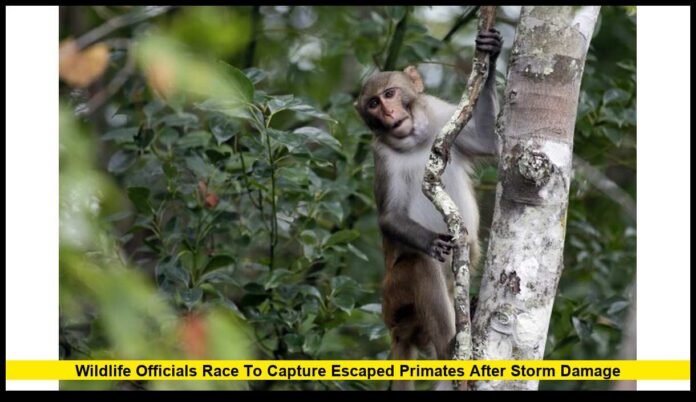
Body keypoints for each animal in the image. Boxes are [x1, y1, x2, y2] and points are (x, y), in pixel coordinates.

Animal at [355, 29, 502, 390]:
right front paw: (430, 241)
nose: (388, 114)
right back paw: (450, 348)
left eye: (390, 94)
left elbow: (486, 141)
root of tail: (395, 330)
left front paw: (490, 54)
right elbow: (390, 216)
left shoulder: (440, 114)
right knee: (420, 266)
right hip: (395, 299)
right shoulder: (382, 156)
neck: (416, 140)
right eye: (373, 104)